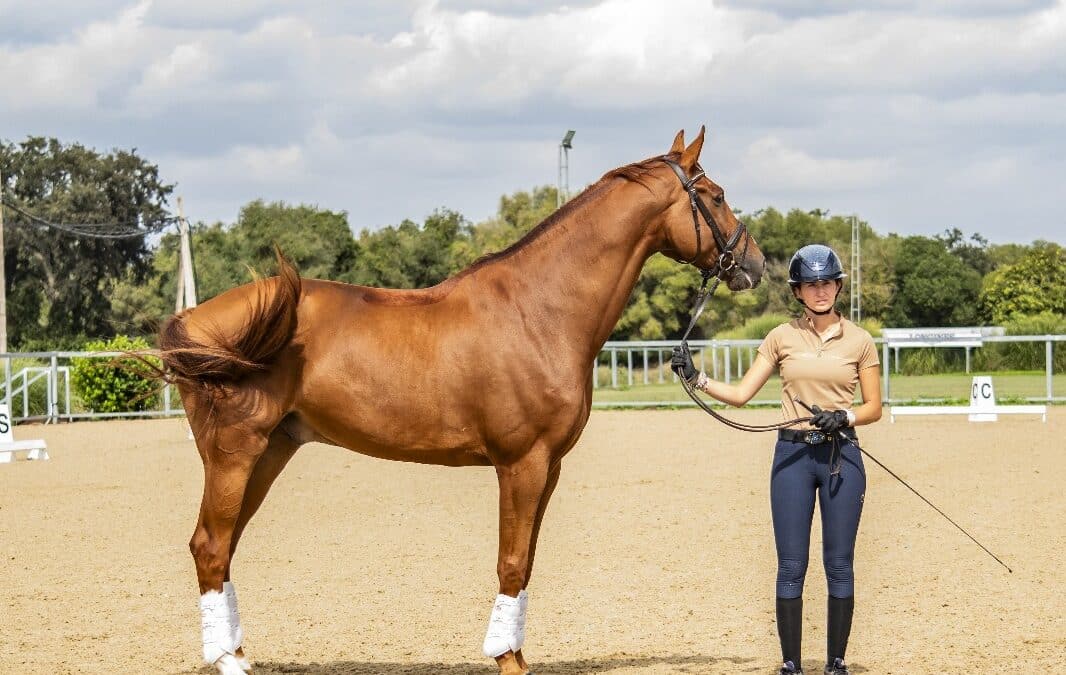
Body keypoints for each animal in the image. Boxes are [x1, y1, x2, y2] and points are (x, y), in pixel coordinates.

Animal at [157, 127, 763, 673]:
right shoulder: (522, 464)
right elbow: (512, 563)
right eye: (715, 195)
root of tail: (193, 319)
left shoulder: (549, 467)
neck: (539, 311)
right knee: (210, 546)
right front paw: (507, 660)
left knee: (224, 548)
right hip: (235, 453)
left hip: (271, 451)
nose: (754, 263)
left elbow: (527, 563)